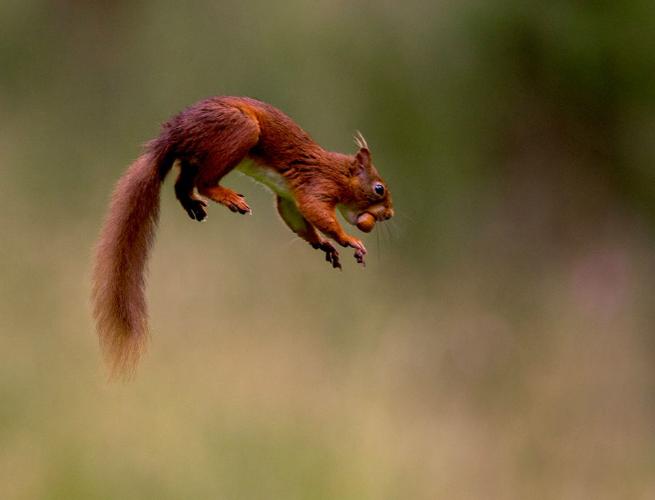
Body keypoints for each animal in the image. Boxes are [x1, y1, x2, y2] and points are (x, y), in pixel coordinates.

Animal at [92, 96, 394, 376]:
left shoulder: (288, 198)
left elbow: (297, 219)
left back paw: (192, 202)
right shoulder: (317, 185)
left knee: (181, 183)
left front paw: (324, 244)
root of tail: (174, 133)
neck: (338, 172)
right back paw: (225, 196)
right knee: (204, 182)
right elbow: (317, 212)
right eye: (379, 188)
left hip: (198, 155)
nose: (390, 214)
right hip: (240, 129)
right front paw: (348, 240)